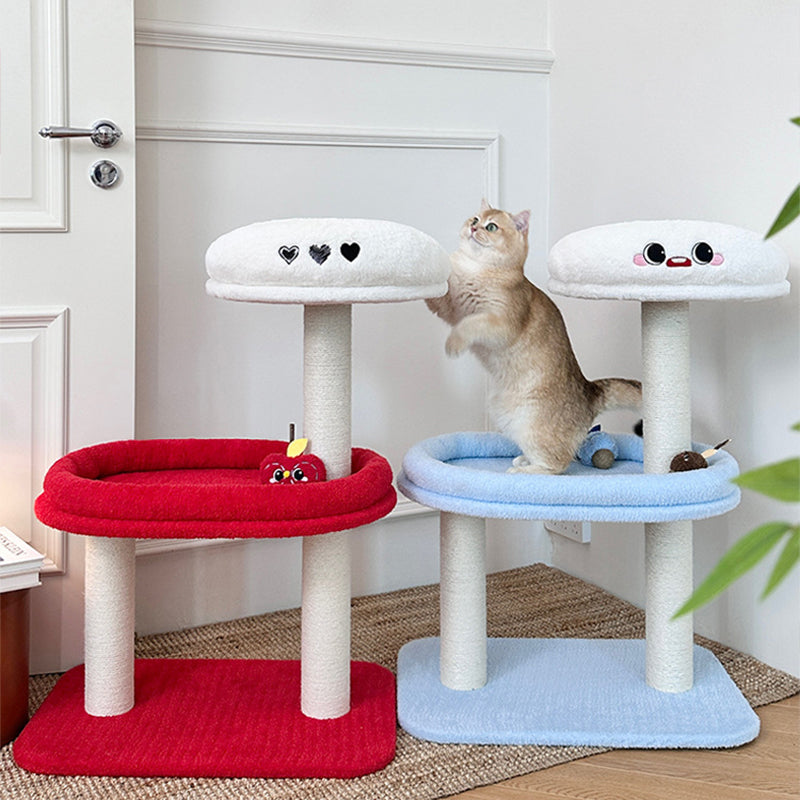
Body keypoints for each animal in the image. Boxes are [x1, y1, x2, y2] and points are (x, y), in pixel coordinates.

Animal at [426, 200, 641, 474]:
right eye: (474, 219)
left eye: (491, 226)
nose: (473, 228)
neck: (476, 269)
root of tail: (589, 391)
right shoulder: (451, 310)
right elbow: (442, 298)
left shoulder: (500, 322)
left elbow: (469, 325)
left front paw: (453, 345)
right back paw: (524, 460)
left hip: (531, 423)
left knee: (558, 464)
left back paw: (524, 471)